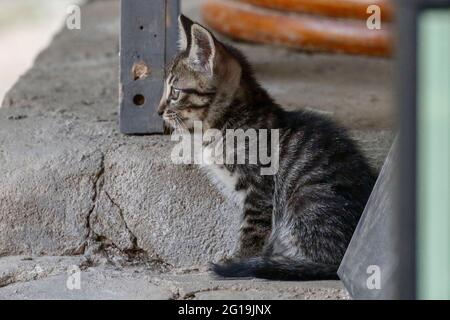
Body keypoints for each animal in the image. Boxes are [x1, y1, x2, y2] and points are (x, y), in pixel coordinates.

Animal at [158, 15, 376, 280]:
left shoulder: (259, 190)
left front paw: (239, 259)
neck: (224, 123)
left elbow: (252, 231)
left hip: (305, 199)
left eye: (175, 92)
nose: (159, 111)